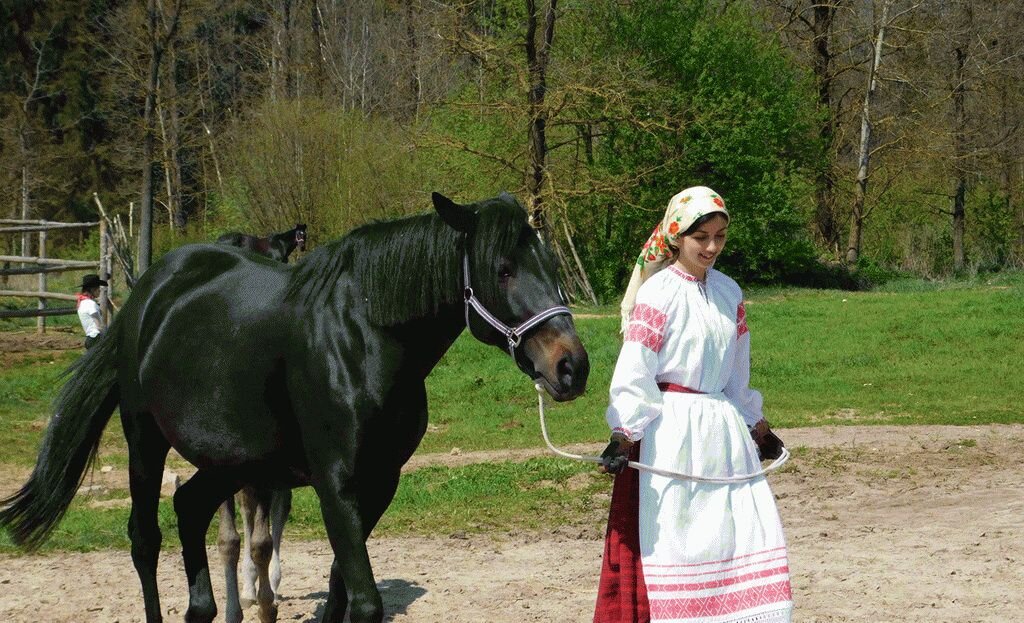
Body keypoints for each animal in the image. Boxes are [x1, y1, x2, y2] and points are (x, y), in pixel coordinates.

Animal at [0, 192, 589, 618]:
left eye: (551, 264)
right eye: (504, 268)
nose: (572, 367)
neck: (364, 339)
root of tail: (148, 294)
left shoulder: (379, 483)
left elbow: (341, 594)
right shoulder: (336, 483)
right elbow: (364, 601)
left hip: (232, 461)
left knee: (190, 511)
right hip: (144, 440)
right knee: (145, 541)